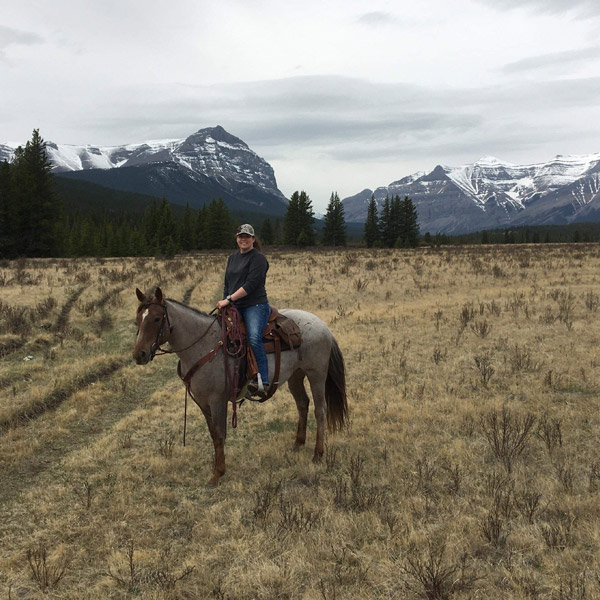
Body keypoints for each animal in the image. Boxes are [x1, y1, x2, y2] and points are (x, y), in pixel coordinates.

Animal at [131, 288, 346, 488]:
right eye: (137, 320)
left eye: (157, 319)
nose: (139, 355)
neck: (204, 345)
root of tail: (322, 325)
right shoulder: (202, 402)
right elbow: (212, 434)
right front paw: (217, 467)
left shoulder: (217, 400)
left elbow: (219, 434)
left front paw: (218, 473)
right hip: (296, 375)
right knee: (302, 404)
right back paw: (298, 443)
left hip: (316, 374)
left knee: (320, 410)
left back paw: (317, 454)